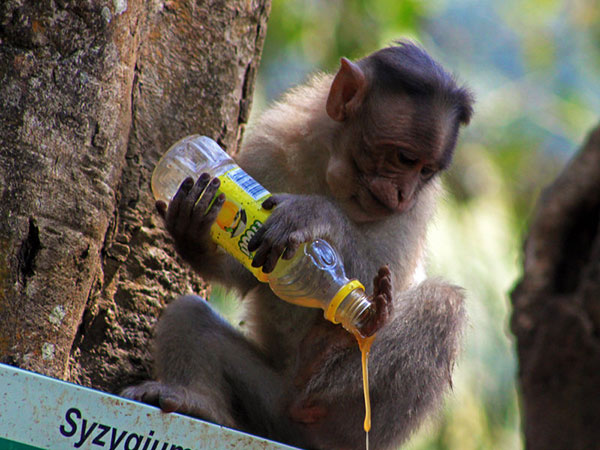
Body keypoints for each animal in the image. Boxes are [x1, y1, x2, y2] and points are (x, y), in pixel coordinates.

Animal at [122, 42, 474, 450]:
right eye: (405, 158)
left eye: (426, 171)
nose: (403, 192)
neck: (336, 178)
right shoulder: (271, 143)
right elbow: (247, 273)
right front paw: (193, 229)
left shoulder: (415, 209)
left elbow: (391, 277)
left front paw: (315, 214)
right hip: (272, 405)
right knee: (189, 314)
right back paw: (198, 402)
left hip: (354, 422)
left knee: (441, 304)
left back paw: (331, 347)